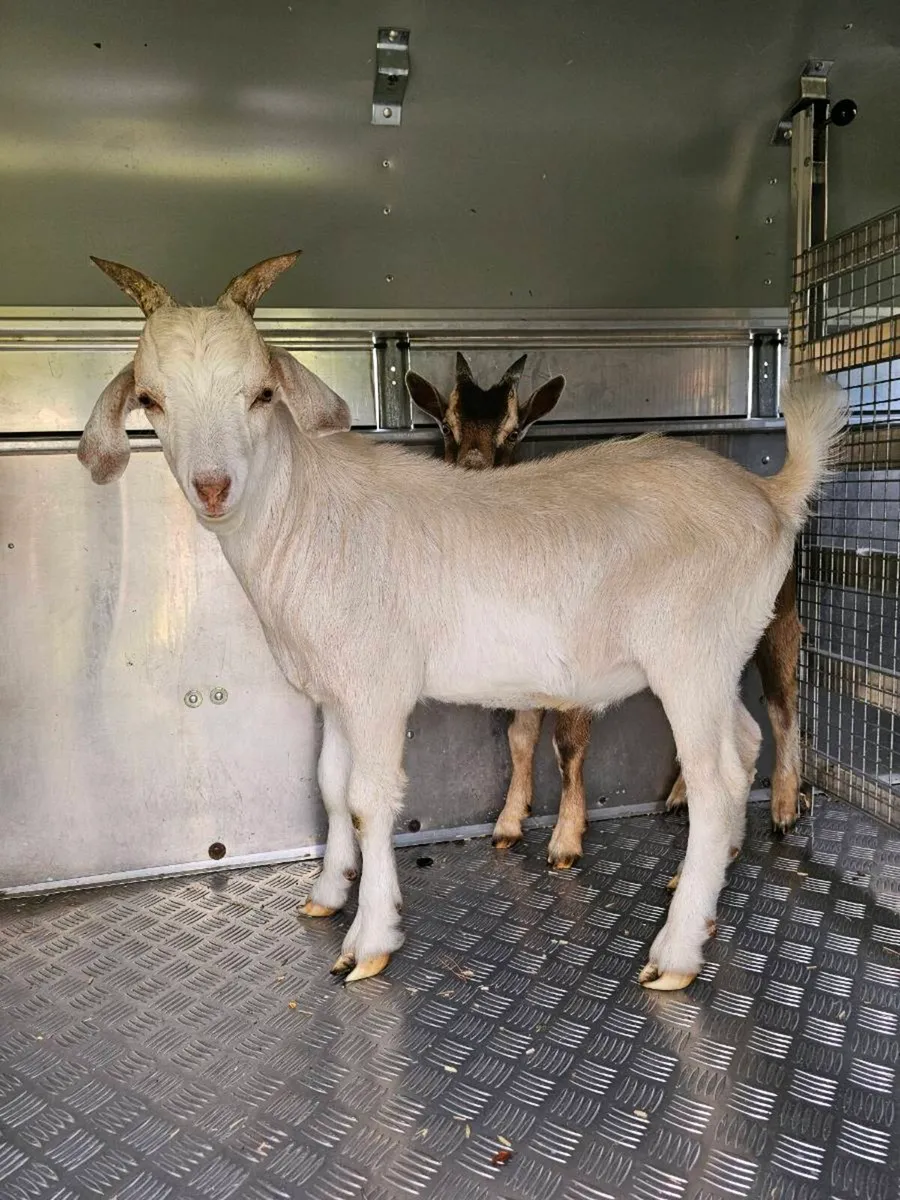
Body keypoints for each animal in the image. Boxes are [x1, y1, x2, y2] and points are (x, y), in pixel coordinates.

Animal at [407, 356, 806, 873]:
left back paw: (784, 804)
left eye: (514, 432)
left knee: (781, 702)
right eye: (445, 424)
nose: (474, 473)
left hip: (777, 616)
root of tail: (767, 494)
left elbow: (568, 745)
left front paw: (565, 839)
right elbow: (520, 737)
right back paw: (684, 794)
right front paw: (509, 822)